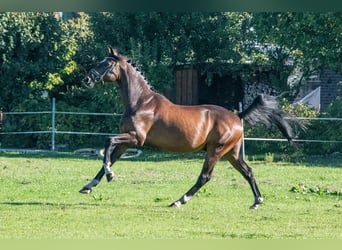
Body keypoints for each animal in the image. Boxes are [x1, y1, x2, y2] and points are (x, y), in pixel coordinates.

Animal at [79, 47, 298, 209]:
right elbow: (110, 157)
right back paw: (257, 202)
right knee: (248, 171)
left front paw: (110, 175)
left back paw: (178, 201)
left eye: (107, 63)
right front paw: (88, 186)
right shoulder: (126, 141)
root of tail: (237, 116)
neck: (141, 102)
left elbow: (107, 141)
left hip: (215, 151)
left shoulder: (135, 139)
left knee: (205, 177)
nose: (87, 79)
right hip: (231, 153)